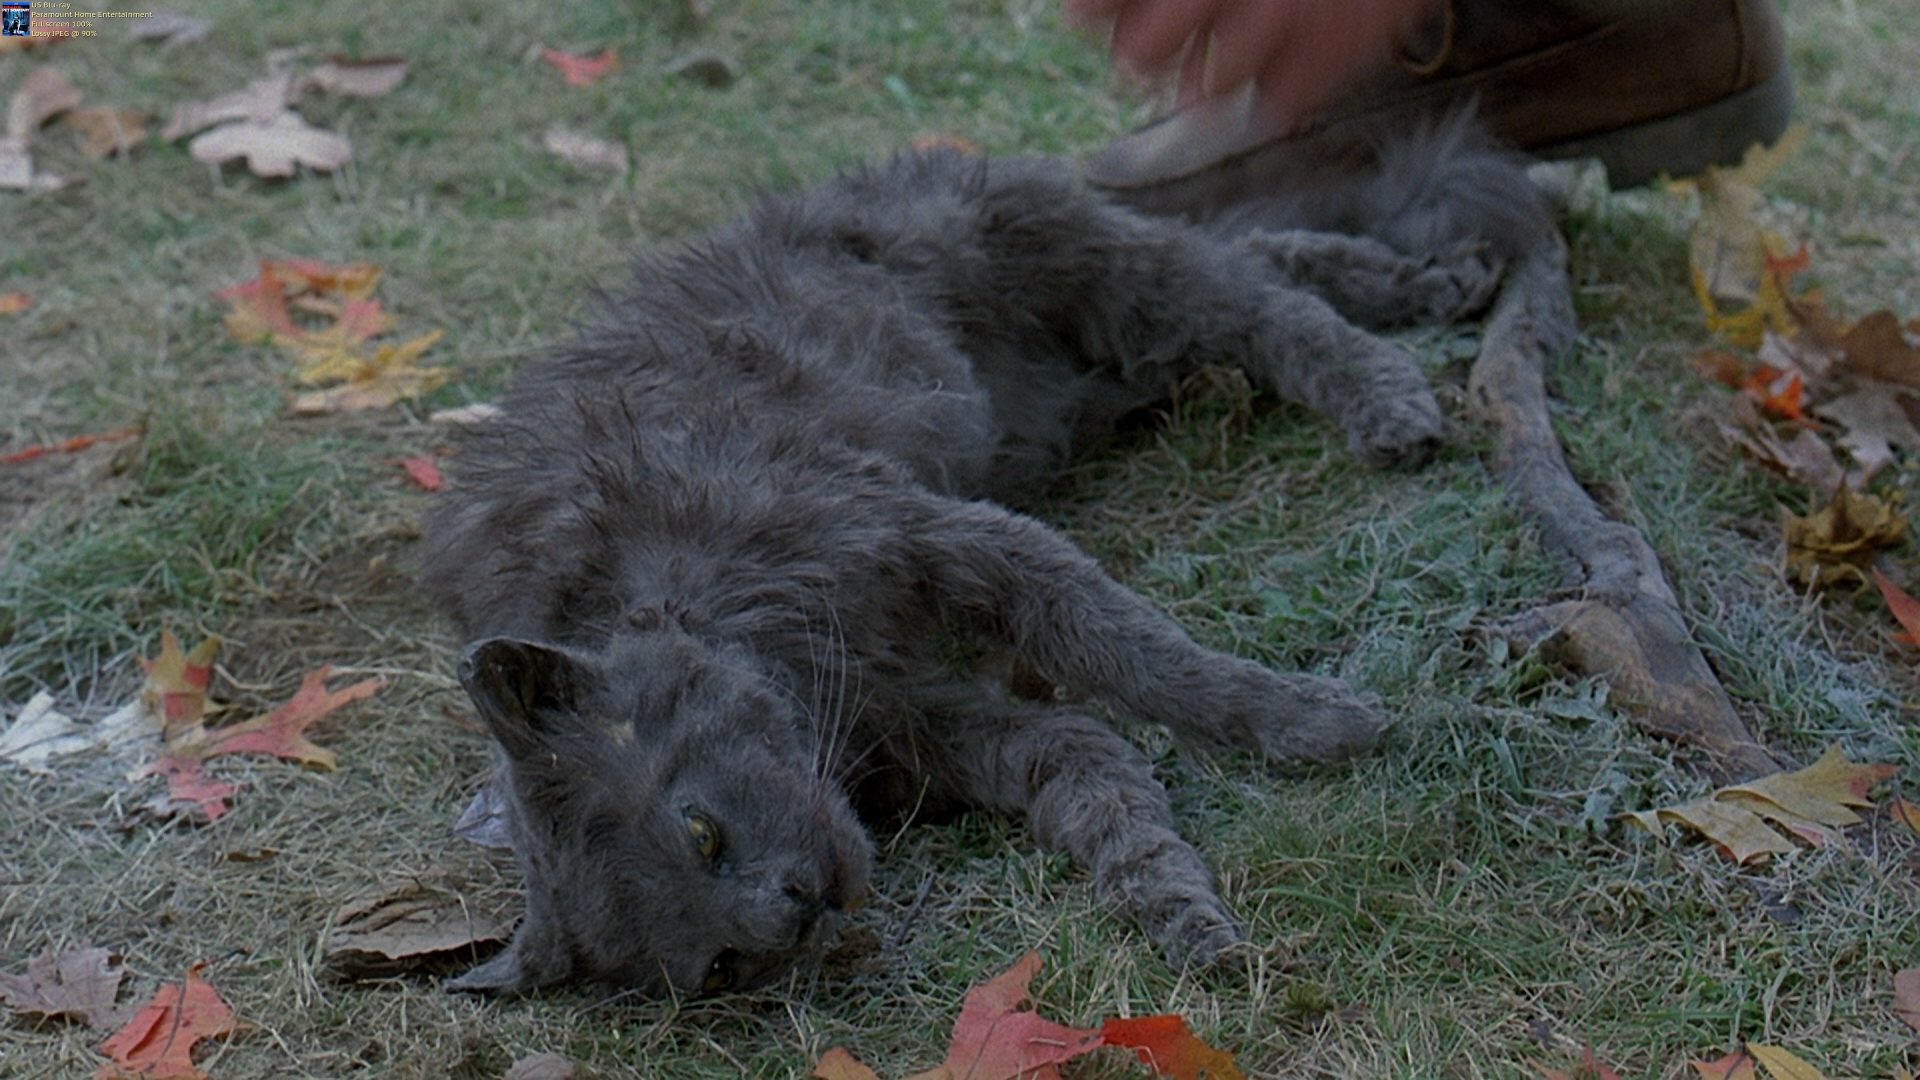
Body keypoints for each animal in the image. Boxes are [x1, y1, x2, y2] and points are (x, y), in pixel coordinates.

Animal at [417, 114, 1549, 996]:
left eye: (699, 830)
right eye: (716, 970)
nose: (794, 915)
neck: (669, 584)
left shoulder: (950, 544)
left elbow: (1149, 657)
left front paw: (1317, 721)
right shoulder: (925, 725)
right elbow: (1104, 786)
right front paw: (1182, 915)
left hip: (1070, 262)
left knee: (1257, 301)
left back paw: (1391, 384)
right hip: (1092, 373)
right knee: (1260, 257)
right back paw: (1436, 278)